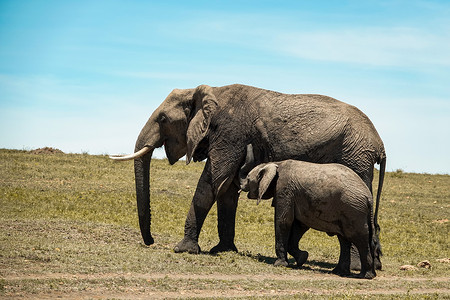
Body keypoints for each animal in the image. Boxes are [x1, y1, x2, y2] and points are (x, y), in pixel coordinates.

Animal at [243, 159, 376, 278]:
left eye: (248, 179)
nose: (241, 185)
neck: (275, 164)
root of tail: (369, 197)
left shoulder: (284, 190)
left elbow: (284, 221)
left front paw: (280, 264)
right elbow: (299, 225)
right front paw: (302, 258)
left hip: (353, 211)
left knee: (358, 239)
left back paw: (365, 276)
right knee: (344, 239)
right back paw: (339, 272)